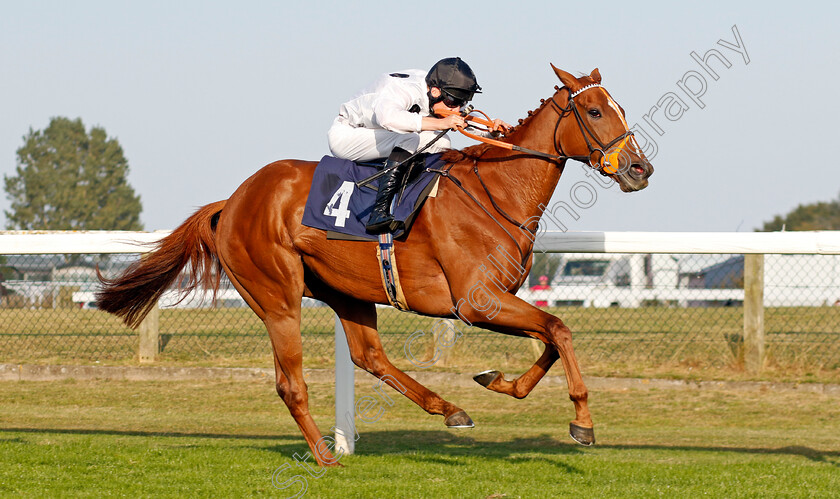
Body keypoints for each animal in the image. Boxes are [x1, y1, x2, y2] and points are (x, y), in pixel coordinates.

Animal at [97, 64, 648, 466]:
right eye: (595, 111)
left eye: (619, 109)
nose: (640, 168)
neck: (497, 192)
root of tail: (230, 203)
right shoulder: (478, 303)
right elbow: (560, 329)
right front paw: (583, 424)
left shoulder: (499, 300)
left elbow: (551, 337)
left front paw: (498, 381)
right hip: (276, 295)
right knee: (291, 382)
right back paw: (325, 456)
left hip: (348, 292)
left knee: (369, 357)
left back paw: (449, 410)